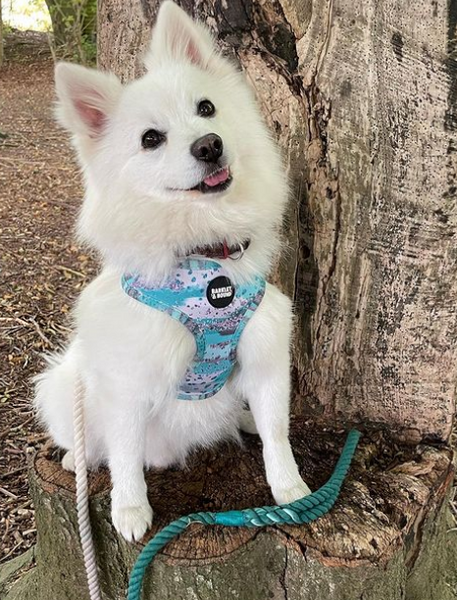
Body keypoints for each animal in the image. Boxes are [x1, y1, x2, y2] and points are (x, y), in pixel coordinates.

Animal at [33, 1, 310, 544]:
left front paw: (291, 491)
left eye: (206, 108)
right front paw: (129, 510)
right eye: (150, 139)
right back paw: (78, 458)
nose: (209, 145)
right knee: (95, 444)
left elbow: (278, 435)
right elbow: (124, 458)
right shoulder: (129, 383)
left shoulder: (265, 357)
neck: (205, 258)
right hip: (64, 387)